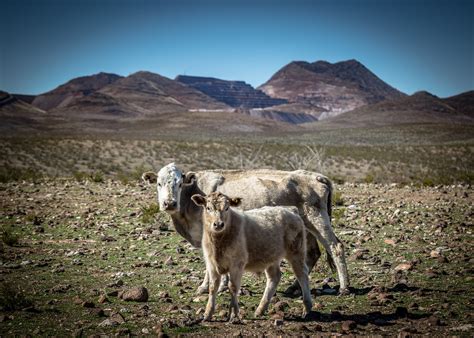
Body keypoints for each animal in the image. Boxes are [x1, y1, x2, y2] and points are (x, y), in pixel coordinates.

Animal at [191, 193, 312, 322]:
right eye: (208, 208)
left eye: (227, 208)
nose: (218, 224)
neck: (218, 244)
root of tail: (291, 209)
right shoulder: (211, 264)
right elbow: (213, 287)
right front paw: (207, 314)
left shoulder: (237, 264)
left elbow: (233, 287)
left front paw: (234, 314)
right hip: (271, 256)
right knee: (274, 277)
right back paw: (260, 309)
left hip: (296, 252)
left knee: (302, 274)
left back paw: (307, 307)